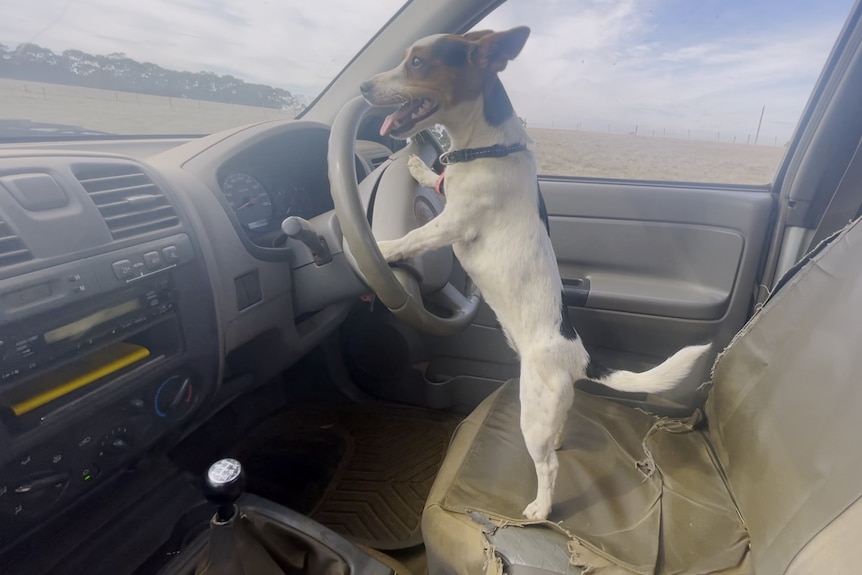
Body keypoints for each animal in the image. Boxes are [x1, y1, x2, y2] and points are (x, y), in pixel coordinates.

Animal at [362, 27, 712, 520]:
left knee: (547, 466)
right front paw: (416, 165)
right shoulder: (450, 196)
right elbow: (436, 179)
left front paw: (376, 247)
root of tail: (579, 357)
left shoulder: (453, 223)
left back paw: (541, 509)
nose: (362, 88)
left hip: (533, 410)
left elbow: (414, 237)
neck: (486, 146)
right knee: (556, 439)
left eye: (417, 62)